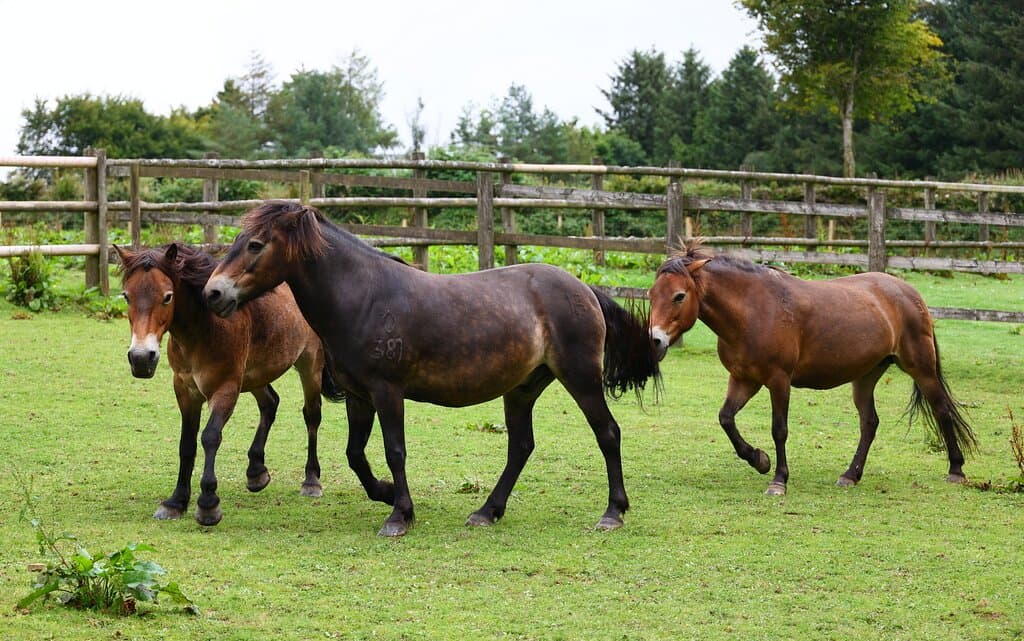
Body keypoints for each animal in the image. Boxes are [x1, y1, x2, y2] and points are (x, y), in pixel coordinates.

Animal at [115, 243, 341, 526]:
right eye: (126, 296)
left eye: (167, 297)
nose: (141, 357)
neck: (204, 329)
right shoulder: (185, 390)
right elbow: (186, 444)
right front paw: (176, 501)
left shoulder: (225, 389)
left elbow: (210, 436)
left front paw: (208, 503)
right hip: (255, 375)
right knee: (270, 404)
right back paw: (256, 471)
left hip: (309, 365)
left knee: (311, 415)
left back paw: (311, 480)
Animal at [202, 201, 660, 537]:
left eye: (255, 245)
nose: (213, 293)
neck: (364, 297)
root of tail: (586, 288)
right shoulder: (359, 396)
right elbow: (355, 455)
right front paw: (387, 495)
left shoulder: (387, 392)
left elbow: (395, 451)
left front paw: (399, 516)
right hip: (522, 389)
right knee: (521, 447)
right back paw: (487, 511)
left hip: (580, 380)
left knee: (607, 434)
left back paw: (612, 513)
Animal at [647, 241, 977, 496]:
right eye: (651, 295)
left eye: (679, 296)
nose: (655, 341)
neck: (752, 310)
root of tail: (910, 293)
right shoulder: (743, 379)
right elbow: (726, 419)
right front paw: (759, 459)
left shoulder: (779, 380)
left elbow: (779, 429)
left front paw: (778, 480)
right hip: (866, 377)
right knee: (869, 423)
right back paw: (850, 475)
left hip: (921, 368)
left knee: (942, 410)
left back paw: (956, 469)